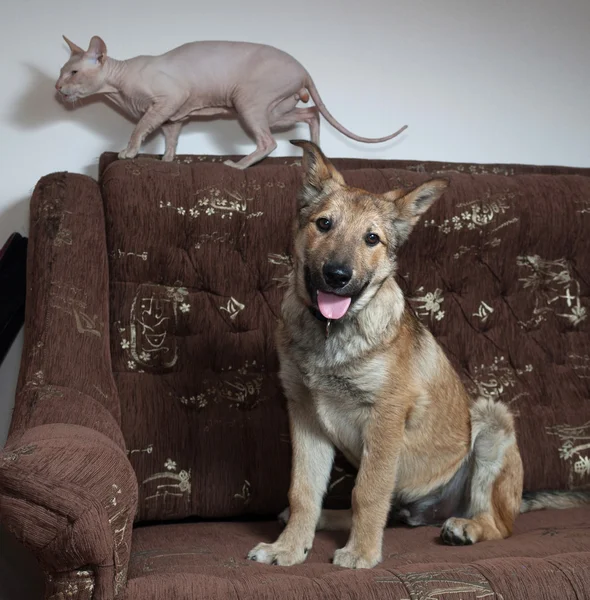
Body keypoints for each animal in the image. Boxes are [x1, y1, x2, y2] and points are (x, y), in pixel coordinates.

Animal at [55, 36, 410, 169]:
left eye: (73, 73)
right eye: (61, 72)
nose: (57, 88)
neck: (119, 83)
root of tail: (303, 69)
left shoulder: (169, 99)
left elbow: (140, 126)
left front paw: (128, 152)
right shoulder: (173, 115)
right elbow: (171, 136)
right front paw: (168, 160)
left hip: (248, 101)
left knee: (269, 142)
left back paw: (239, 165)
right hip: (276, 108)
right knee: (310, 113)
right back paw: (313, 155)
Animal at [249, 142, 590, 572]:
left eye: (372, 239)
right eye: (323, 224)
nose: (337, 275)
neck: (332, 332)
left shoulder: (385, 416)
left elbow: (368, 491)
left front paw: (361, 553)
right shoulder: (305, 416)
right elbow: (303, 490)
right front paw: (290, 547)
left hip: (492, 422)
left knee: (497, 524)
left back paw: (467, 527)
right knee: (387, 509)